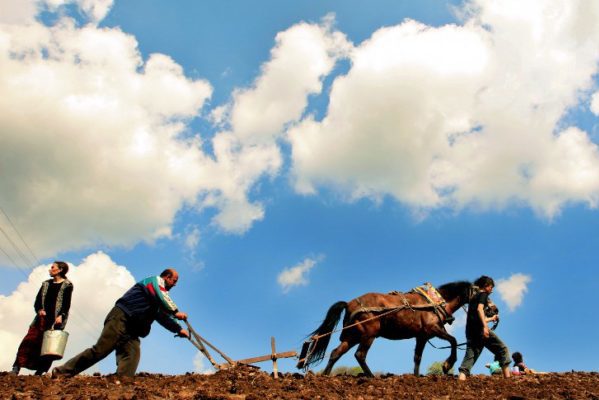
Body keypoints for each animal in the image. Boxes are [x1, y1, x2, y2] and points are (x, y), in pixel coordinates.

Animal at [298, 280, 476, 376]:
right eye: (478, 291)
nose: (489, 309)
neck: (433, 302)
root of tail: (349, 304)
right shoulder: (433, 329)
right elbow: (453, 340)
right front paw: (447, 365)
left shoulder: (422, 337)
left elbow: (417, 358)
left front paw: (416, 376)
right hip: (368, 335)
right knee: (360, 355)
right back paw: (370, 376)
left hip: (352, 336)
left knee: (336, 353)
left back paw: (326, 375)